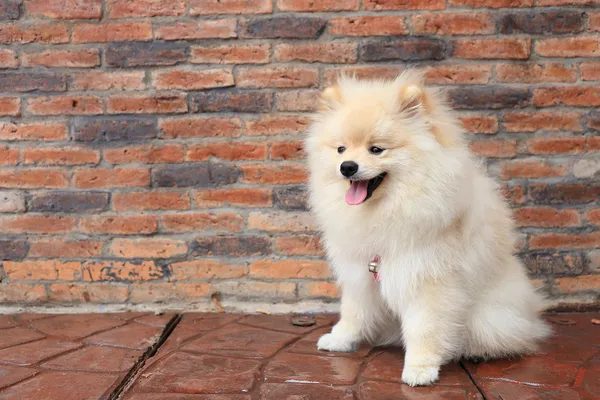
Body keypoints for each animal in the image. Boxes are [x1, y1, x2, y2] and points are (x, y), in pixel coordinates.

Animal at [308, 70, 552, 386]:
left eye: (376, 149)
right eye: (340, 149)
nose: (347, 166)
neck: (385, 210)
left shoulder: (426, 278)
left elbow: (424, 328)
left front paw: (420, 368)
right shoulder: (360, 270)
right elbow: (353, 311)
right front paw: (340, 339)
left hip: (490, 316)